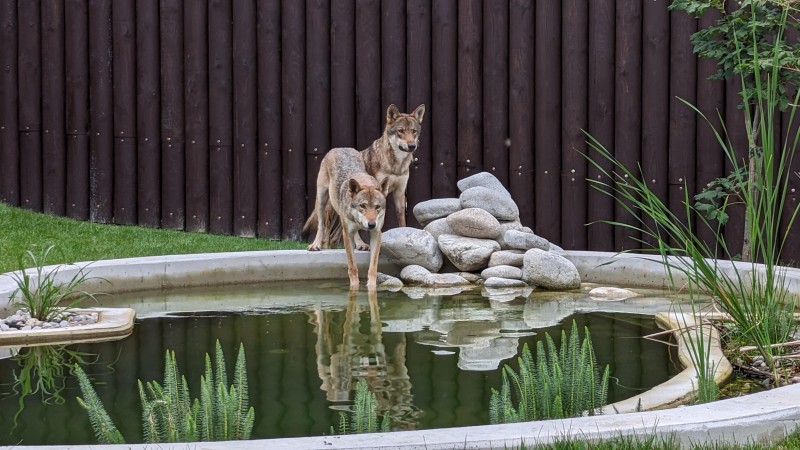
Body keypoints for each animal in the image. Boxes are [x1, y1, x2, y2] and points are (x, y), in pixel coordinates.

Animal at [306, 148, 390, 288]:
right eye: (362, 206)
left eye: (377, 207)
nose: (371, 224)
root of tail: (340, 148)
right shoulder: (347, 235)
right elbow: (352, 266)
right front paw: (354, 286)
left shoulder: (376, 233)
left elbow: (373, 267)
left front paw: (371, 287)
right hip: (321, 199)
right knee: (321, 225)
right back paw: (316, 245)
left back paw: (360, 244)